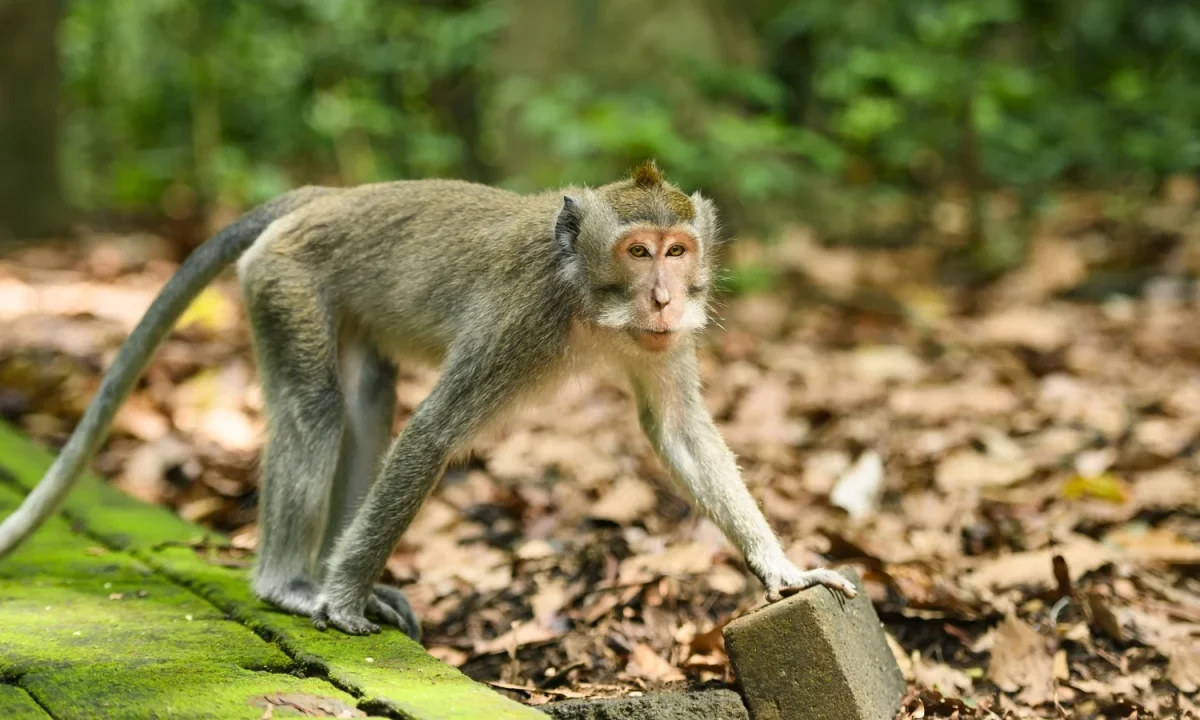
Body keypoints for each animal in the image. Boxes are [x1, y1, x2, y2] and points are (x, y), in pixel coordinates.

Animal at [0, 161, 856, 638]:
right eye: (638, 251)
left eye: (679, 252)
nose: (666, 299)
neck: (584, 299)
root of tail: (325, 197)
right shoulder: (518, 323)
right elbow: (436, 434)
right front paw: (342, 601)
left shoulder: (658, 344)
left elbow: (677, 430)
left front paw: (783, 570)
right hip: (283, 280)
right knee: (316, 409)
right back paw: (293, 583)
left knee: (365, 402)